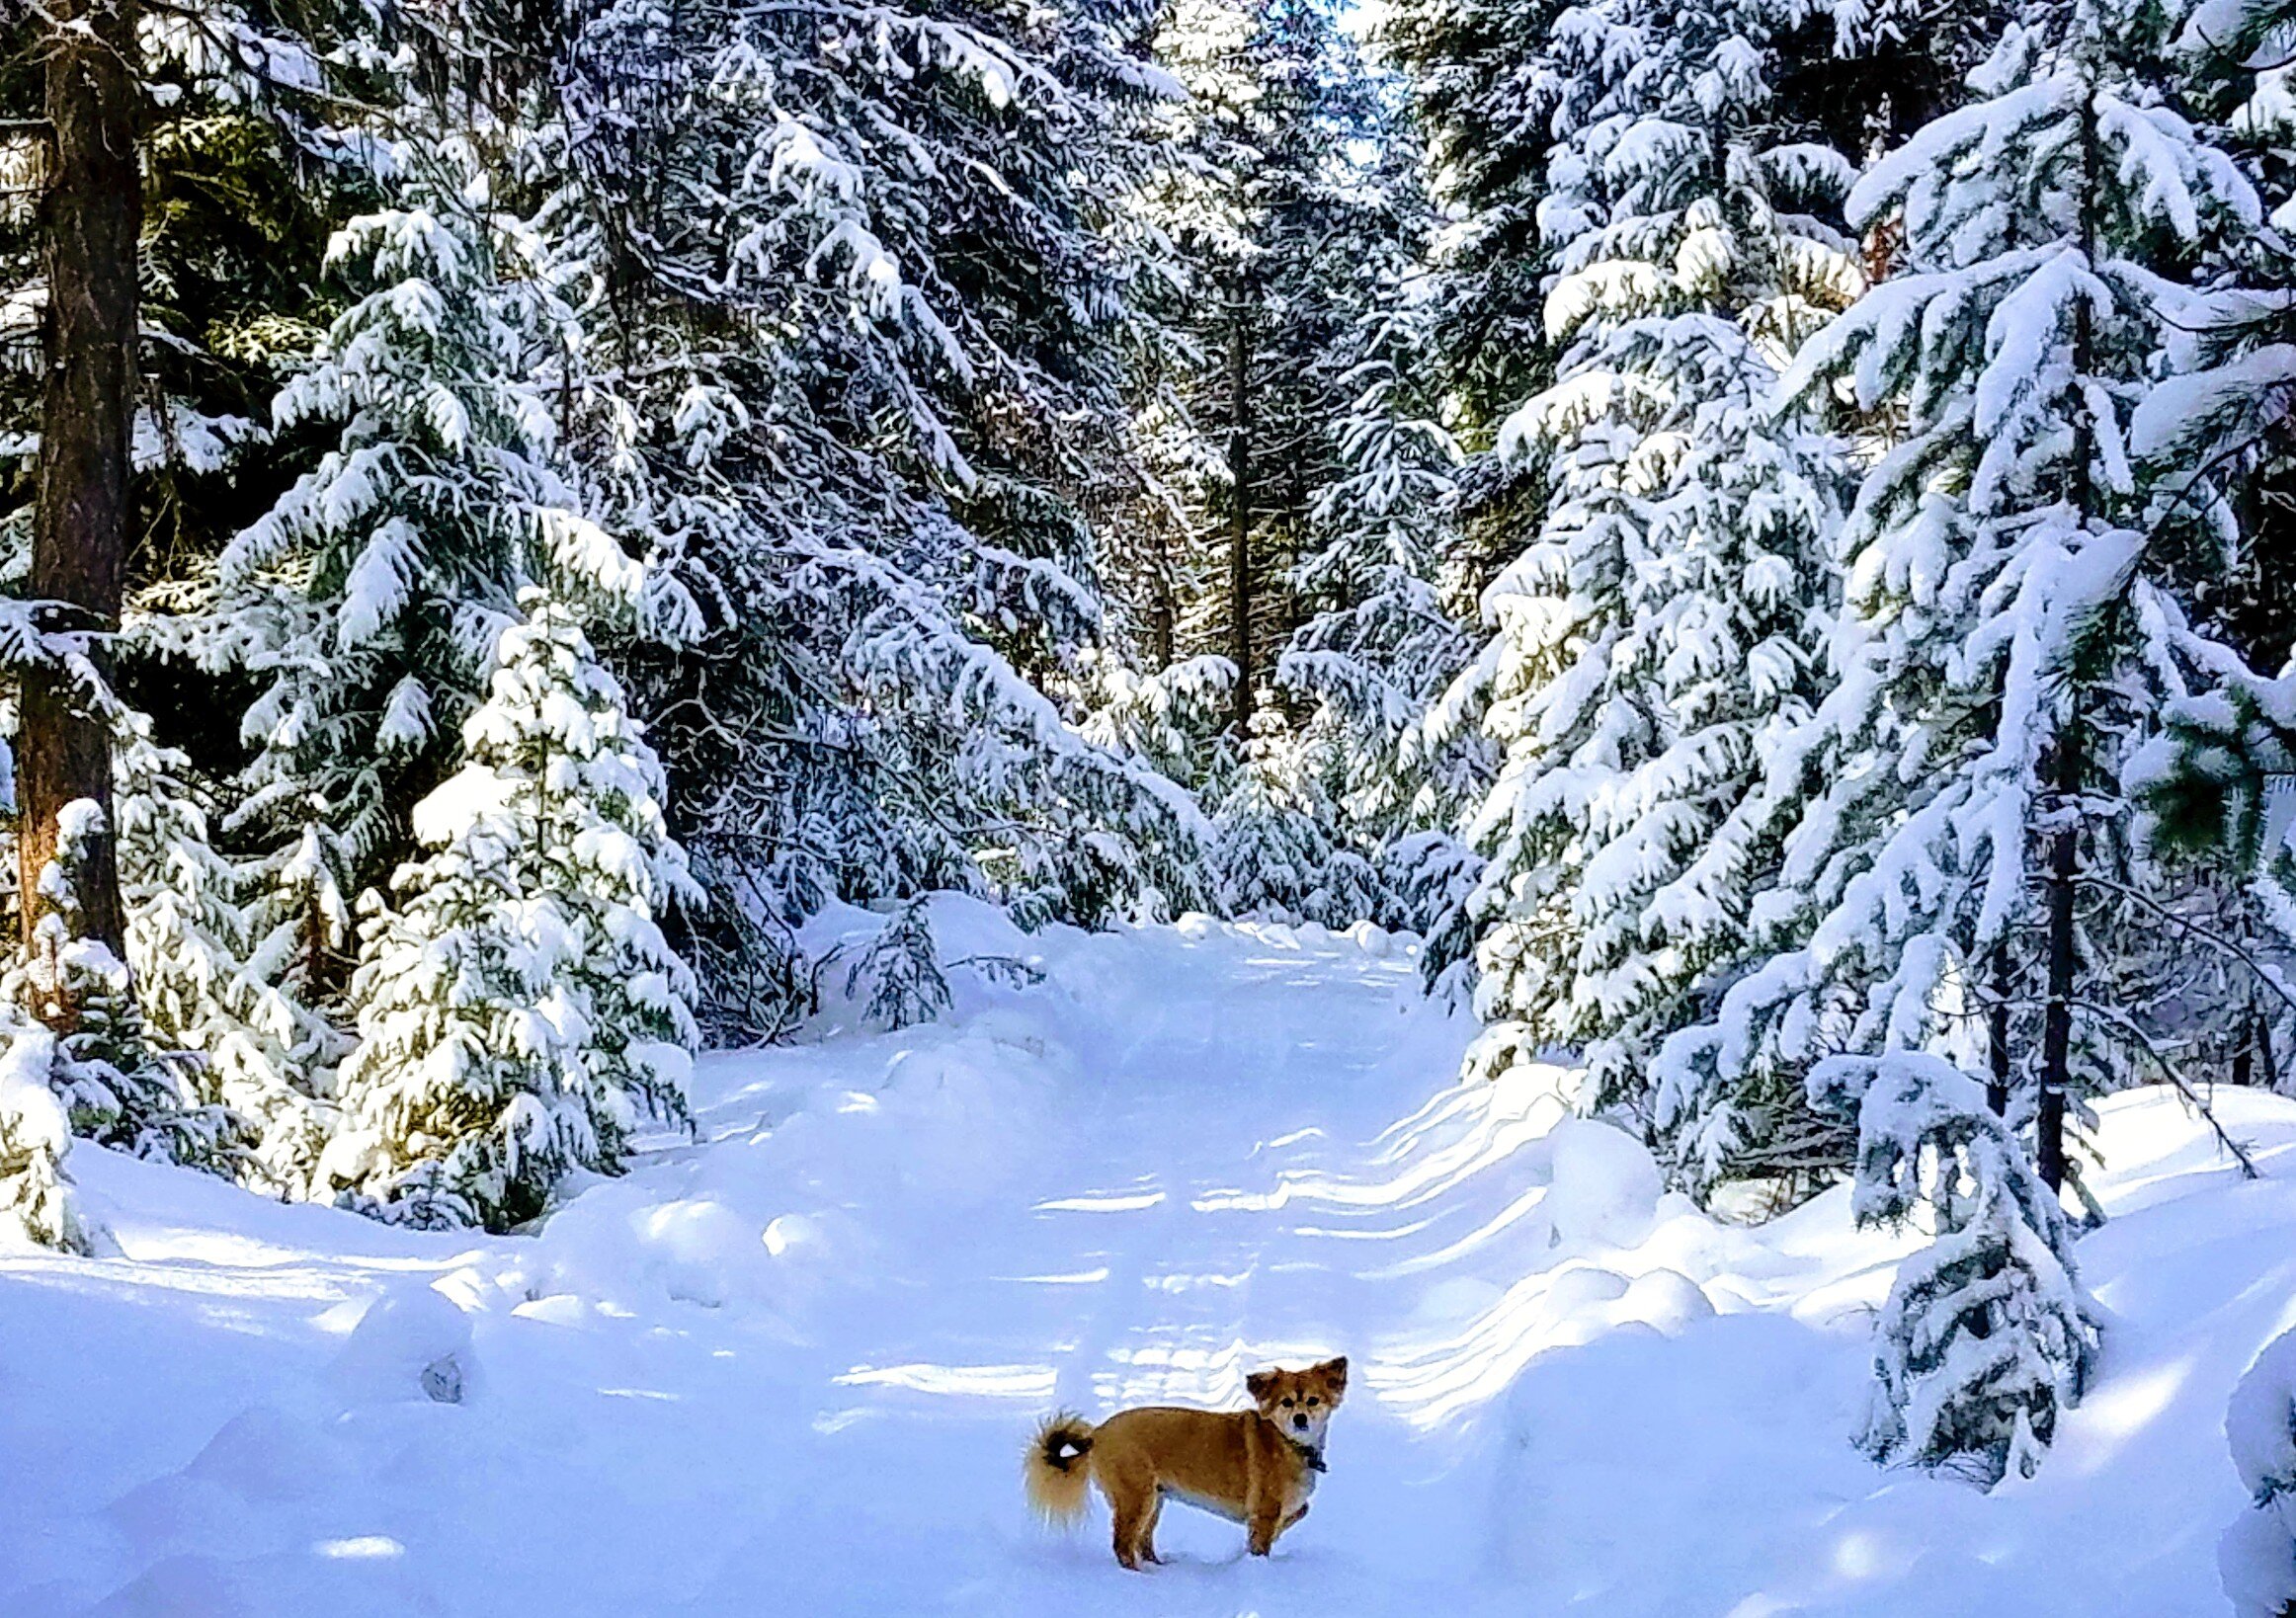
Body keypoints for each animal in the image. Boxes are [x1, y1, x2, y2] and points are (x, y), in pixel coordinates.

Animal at [1024, 1349, 1341, 1560]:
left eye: (1313, 1400)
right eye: (1286, 1402)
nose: (1301, 1418)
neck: (1287, 1441)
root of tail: (1097, 1435)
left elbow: (1299, 1511)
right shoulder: (1264, 1511)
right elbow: (1265, 1538)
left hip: (1154, 1500)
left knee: (1142, 1542)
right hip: (1136, 1497)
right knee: (1124, 1545)